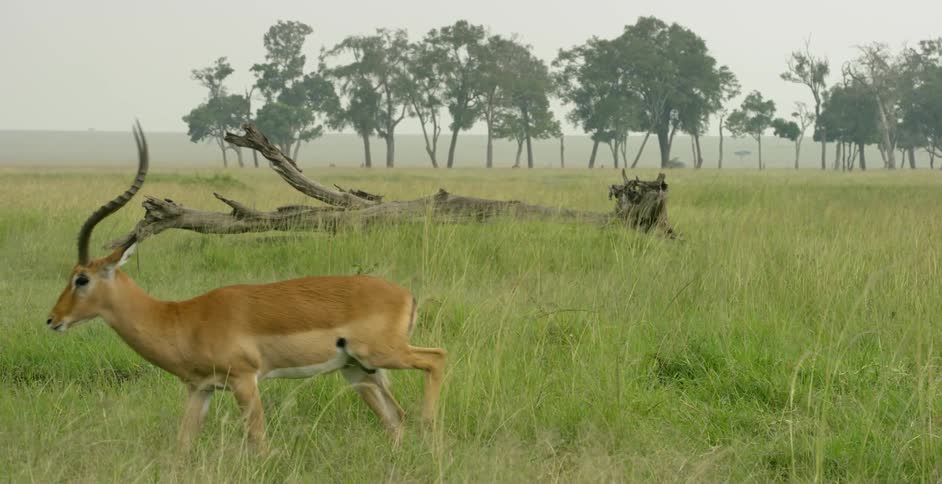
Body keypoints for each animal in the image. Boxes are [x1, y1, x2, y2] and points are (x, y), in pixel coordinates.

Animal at [47, 123, 446, 450]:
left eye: (81, 278)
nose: (52, 319)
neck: (181, 318)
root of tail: (406, 295)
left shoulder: (244, 380)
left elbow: (259, 441)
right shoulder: (199, 389)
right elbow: (183, 445)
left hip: (380, 355)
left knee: (436, 359)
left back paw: (429, 424)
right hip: (357, 369)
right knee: (394, 419)